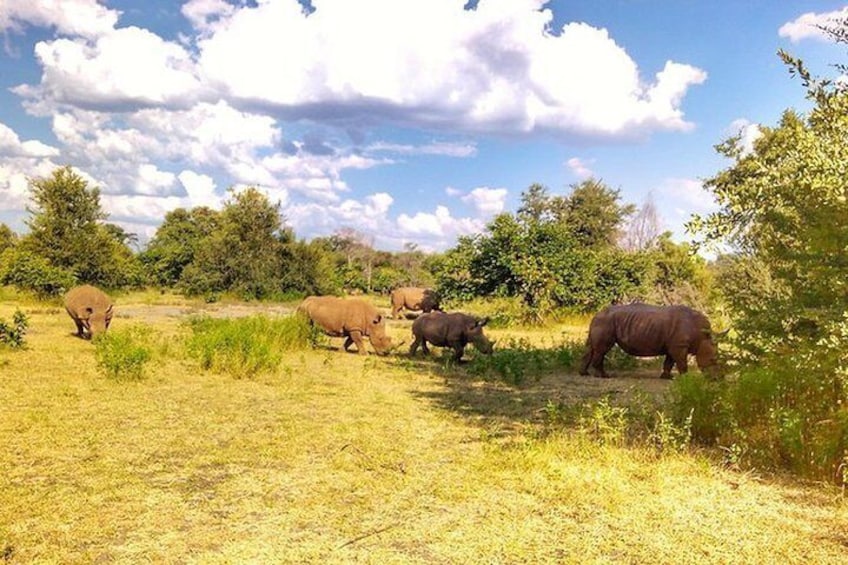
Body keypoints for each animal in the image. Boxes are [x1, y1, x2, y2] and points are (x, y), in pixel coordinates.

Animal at [584, 302, 724, 376]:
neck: (701, 336)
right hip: (606, 322)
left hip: (602, 321)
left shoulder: (674, 345)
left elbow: (669, 361)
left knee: (591, 348)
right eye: (713, 360)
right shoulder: (679, 346)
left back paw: (584, 374)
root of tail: (595, 315)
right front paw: (685, 377)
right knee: (602, 350)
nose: (719, 378)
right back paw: (604, 376)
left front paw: (667, 377)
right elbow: (681, 362)